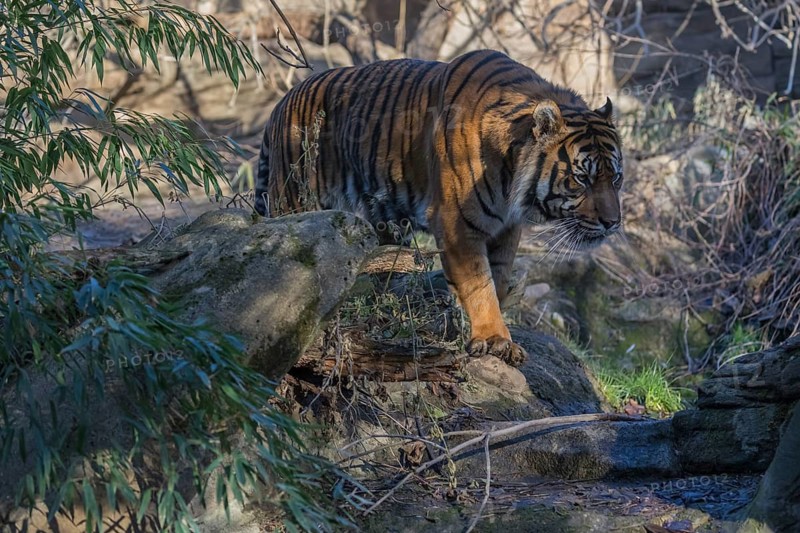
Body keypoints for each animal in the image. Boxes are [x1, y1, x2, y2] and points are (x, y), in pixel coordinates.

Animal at [254, 49, 622, 366]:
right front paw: (494, 339)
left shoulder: (505, 227)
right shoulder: (457, 222)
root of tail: (280, 103)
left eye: (616, 178)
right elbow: (479, 284)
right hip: (296, 200)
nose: (613, 223)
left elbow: (499, 277)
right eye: (582, 178)